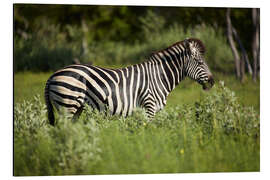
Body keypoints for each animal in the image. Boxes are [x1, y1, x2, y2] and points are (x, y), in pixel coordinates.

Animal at [43, 38, 213, 125]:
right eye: (200, 62)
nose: (212, 82)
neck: (159, 78)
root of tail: (53, 75)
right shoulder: (149, 107)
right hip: (67, 104)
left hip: (75, 108)